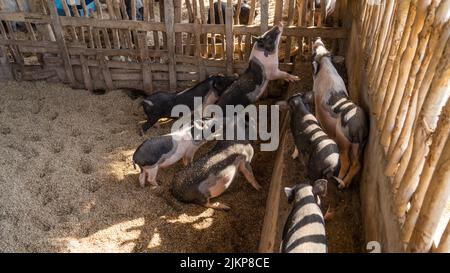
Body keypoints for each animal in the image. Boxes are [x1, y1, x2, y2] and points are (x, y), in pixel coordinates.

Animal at [312, 37, 370, 187]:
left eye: (314, 53)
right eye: (324, 48)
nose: (318, 39)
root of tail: (359, 127)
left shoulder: (317, 103)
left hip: (343, 139)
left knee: (346, 160)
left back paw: (339, 181)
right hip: (359, 145)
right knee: (357, 164)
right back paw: (345, 185)